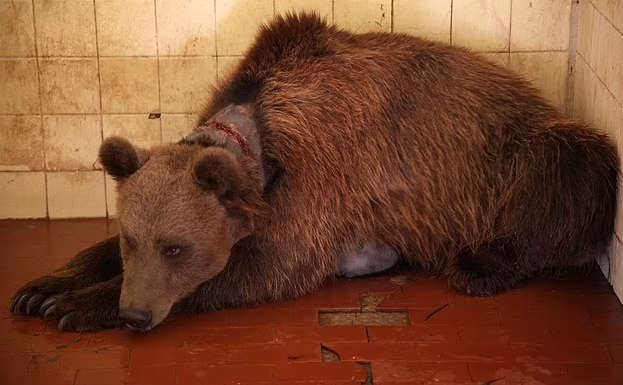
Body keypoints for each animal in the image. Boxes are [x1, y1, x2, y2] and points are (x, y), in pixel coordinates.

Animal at [8, 12, 620, 330]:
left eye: (176, 248)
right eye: (134, 239)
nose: (135, 314)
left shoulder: (321, 177)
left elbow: (266, 265)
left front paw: (78, 306)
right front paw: (44, 288)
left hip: (521, 149)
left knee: (571, 175)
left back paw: (479, 266)